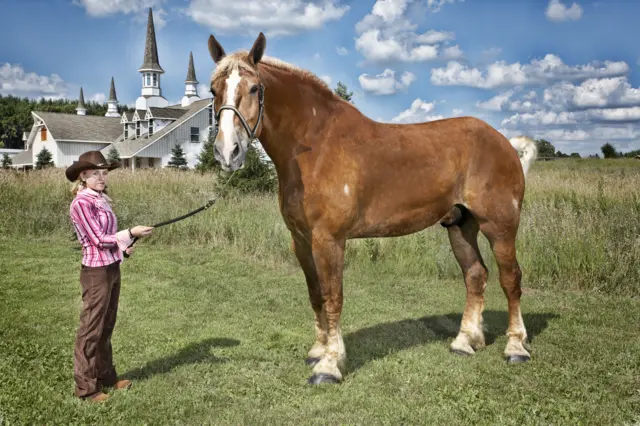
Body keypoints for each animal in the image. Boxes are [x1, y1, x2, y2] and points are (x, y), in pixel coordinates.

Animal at [206, 32, 539, 385]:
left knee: (511, 279)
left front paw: (329, 365)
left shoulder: (329, 240)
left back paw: (516, 347)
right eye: (213, 89)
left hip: (500, 227)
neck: (317, 146)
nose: (228, 152)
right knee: (475, 275)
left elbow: (332, 296)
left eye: (255, 88)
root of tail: (505, 143)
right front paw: (318, 351)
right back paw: (465, 341)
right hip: (461, 225)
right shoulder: (301, 240)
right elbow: (315, 295)